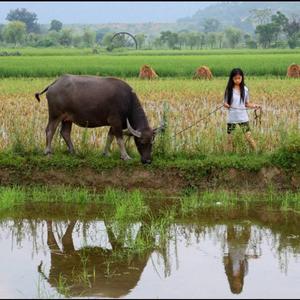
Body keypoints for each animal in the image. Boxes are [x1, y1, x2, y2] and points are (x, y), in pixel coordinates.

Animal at [35, 74, 164, 164]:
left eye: (152, 142)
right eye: (141, 142)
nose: (147, 161)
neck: (128, 102)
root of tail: (54, 84)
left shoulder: (114, 124)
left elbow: (110, 137)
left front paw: (106, 153)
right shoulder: (116, 122)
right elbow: (119, 140)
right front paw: (125, 156)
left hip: (67, 119)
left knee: (65, 132)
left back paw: (73, 151)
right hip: (55, 115)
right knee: (50, 130)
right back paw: (48, 151)